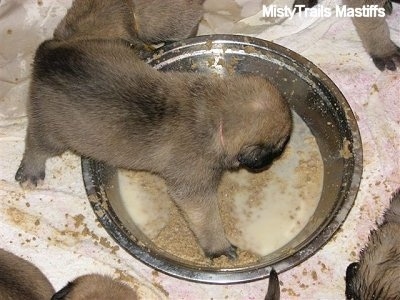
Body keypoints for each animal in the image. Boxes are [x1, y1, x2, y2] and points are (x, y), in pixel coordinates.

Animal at [15, 37, 292, 258]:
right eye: (276, 148)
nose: (271, 162)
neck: (216, 115)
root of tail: (48, 55)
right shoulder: (194, 188)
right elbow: (207, 219)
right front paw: (219, 246)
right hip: (54, 135)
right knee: (35, 145)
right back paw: (30, 171)